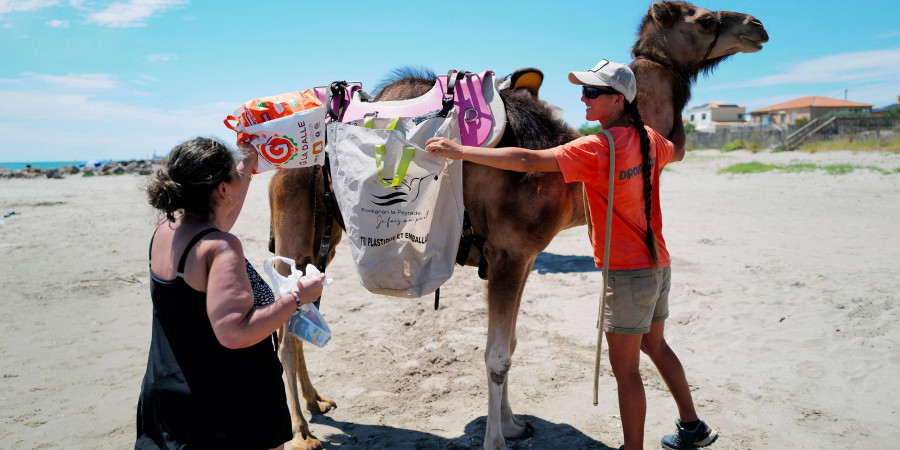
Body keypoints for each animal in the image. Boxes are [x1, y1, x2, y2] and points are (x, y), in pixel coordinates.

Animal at [266, 1, 768, 448]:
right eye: (703, 19)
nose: (757, 26)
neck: (559, 169)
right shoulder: (508, 255)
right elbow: (497, 357)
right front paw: (496, 441)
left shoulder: (524, 257)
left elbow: (511, 344)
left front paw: (512, 426)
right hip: (296, 235)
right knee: (284, 334)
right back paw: (302, 434)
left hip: (324, 243)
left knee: (300, 317)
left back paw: (318, 403)